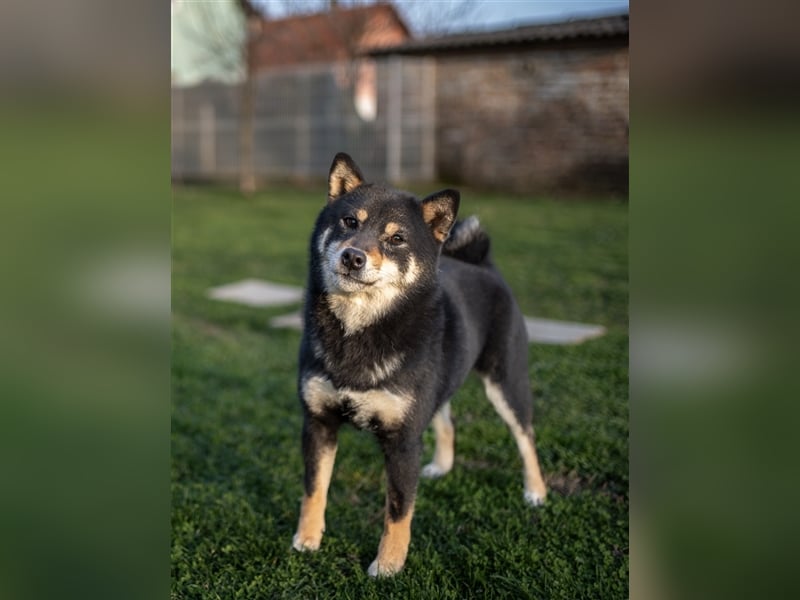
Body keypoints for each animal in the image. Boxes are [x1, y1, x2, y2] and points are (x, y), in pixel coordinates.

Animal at [290, 154, 548, 576]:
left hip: (506, 382)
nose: (352, 257)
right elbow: (314, 489)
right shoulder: (318, 422)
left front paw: (388, 565)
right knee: (447, 419)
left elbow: (398, 510)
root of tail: (484, 265)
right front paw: (307, 539)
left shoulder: (403, 440)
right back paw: (442, 466)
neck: (359, 331)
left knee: (525, 437)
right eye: (350, 222)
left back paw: (536, 491)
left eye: (396, 239)